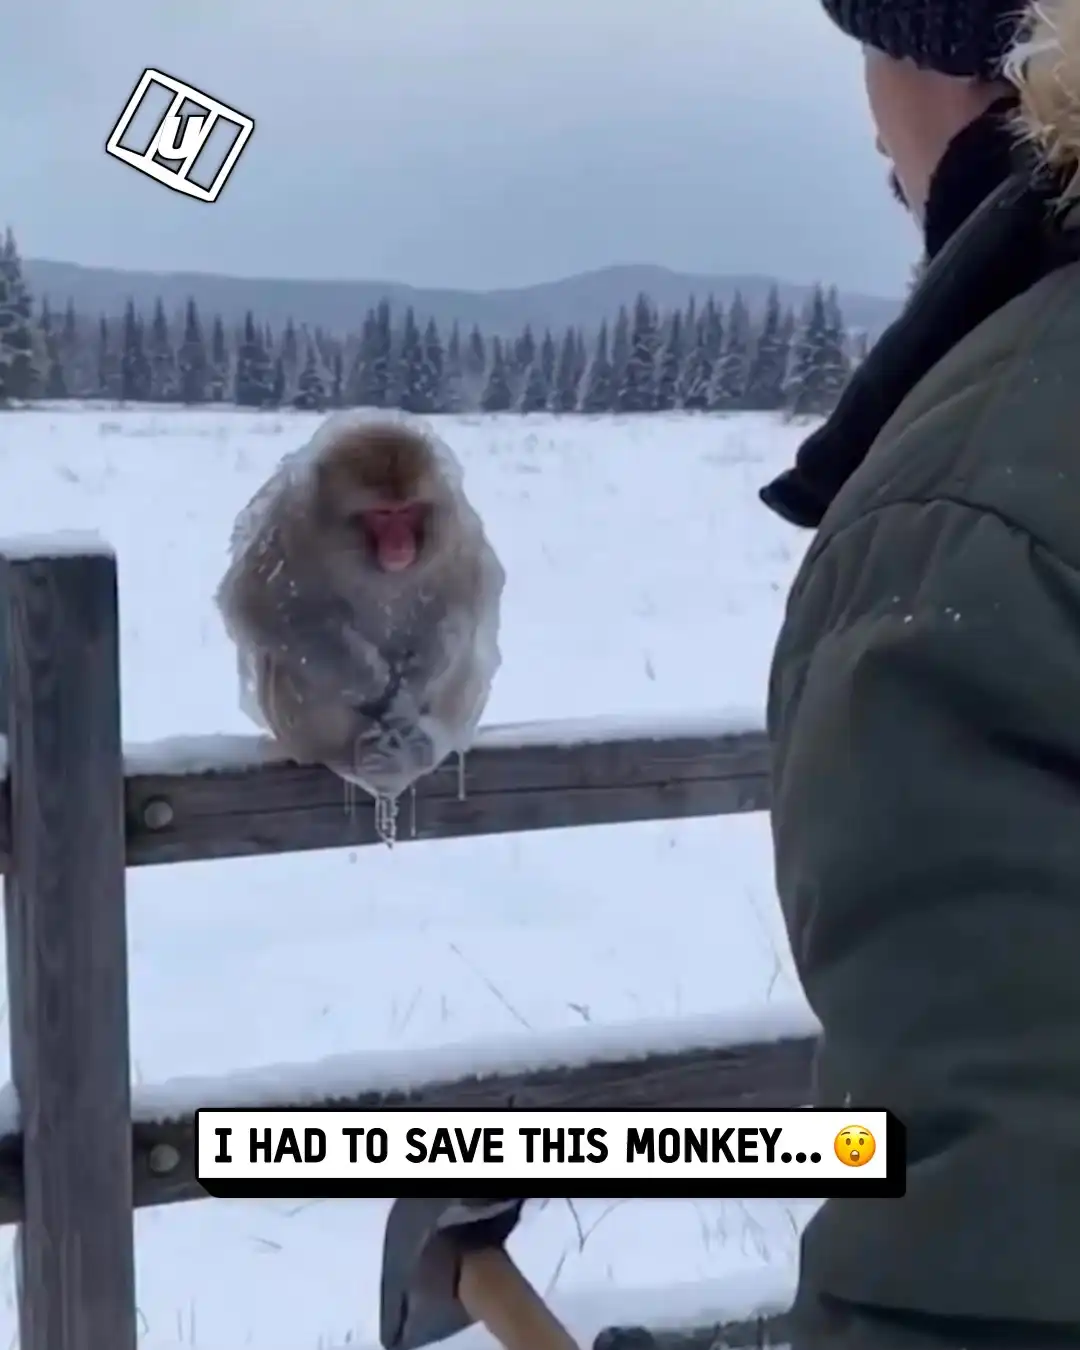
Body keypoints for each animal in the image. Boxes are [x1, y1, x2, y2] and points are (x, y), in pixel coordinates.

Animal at [216, 414, 505, 799]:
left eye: (408, 511)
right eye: (382, 514)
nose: (400, 545)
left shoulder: (457, 534)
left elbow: (467, 603)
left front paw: (406, 696)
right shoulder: (290, 526)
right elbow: (261, 604)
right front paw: (371, 681)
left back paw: (424, 742)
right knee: (290, 663)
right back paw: (356, 751)